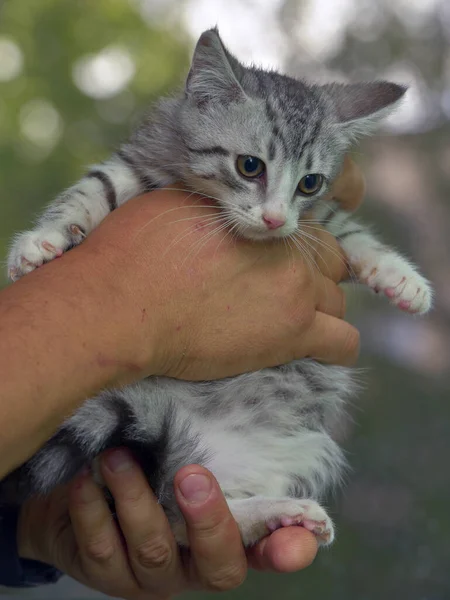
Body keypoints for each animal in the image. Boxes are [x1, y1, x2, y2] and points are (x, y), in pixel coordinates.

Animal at [2, 29, 432, 548]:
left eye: (309, 183)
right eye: (250, 166)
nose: (275, 220)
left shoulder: (317, 218)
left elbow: (347, 231)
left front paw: (400, 277)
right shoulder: (138, 160)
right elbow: (92, 189)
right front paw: (43, 238)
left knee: (190, 514)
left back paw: (278, 513)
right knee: (177, 512)